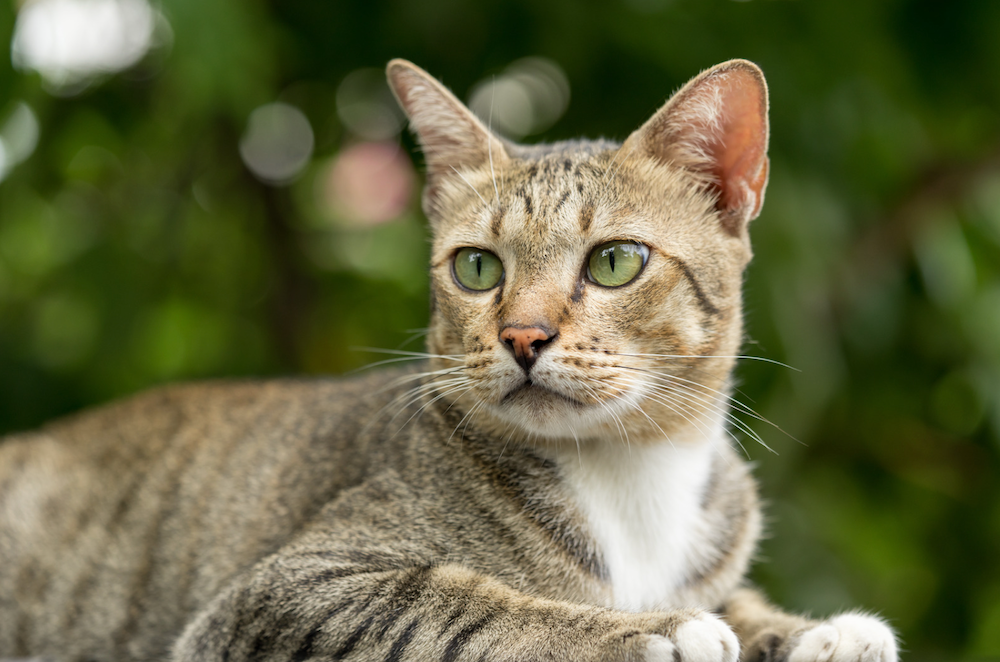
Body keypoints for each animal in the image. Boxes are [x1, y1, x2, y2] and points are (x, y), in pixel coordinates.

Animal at [0, 59, 904, 660]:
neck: (628, 475)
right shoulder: (280, 592)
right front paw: (653, 628)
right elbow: (461, 600)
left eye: (615, 262)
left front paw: (815, 632)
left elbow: (744, 606)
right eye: (477, 268)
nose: (523, 337)